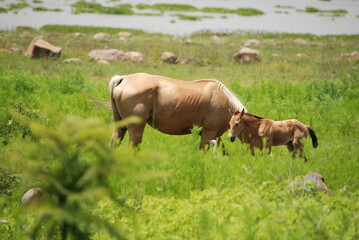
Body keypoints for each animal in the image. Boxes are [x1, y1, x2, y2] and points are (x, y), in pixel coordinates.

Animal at [109, 72, 248, 149]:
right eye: (237, 124)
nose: (232, 138)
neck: (224, 101)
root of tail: (123, 78)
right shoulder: (208, 133)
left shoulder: (214, 136)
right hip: (135, 128)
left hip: (120, 126)